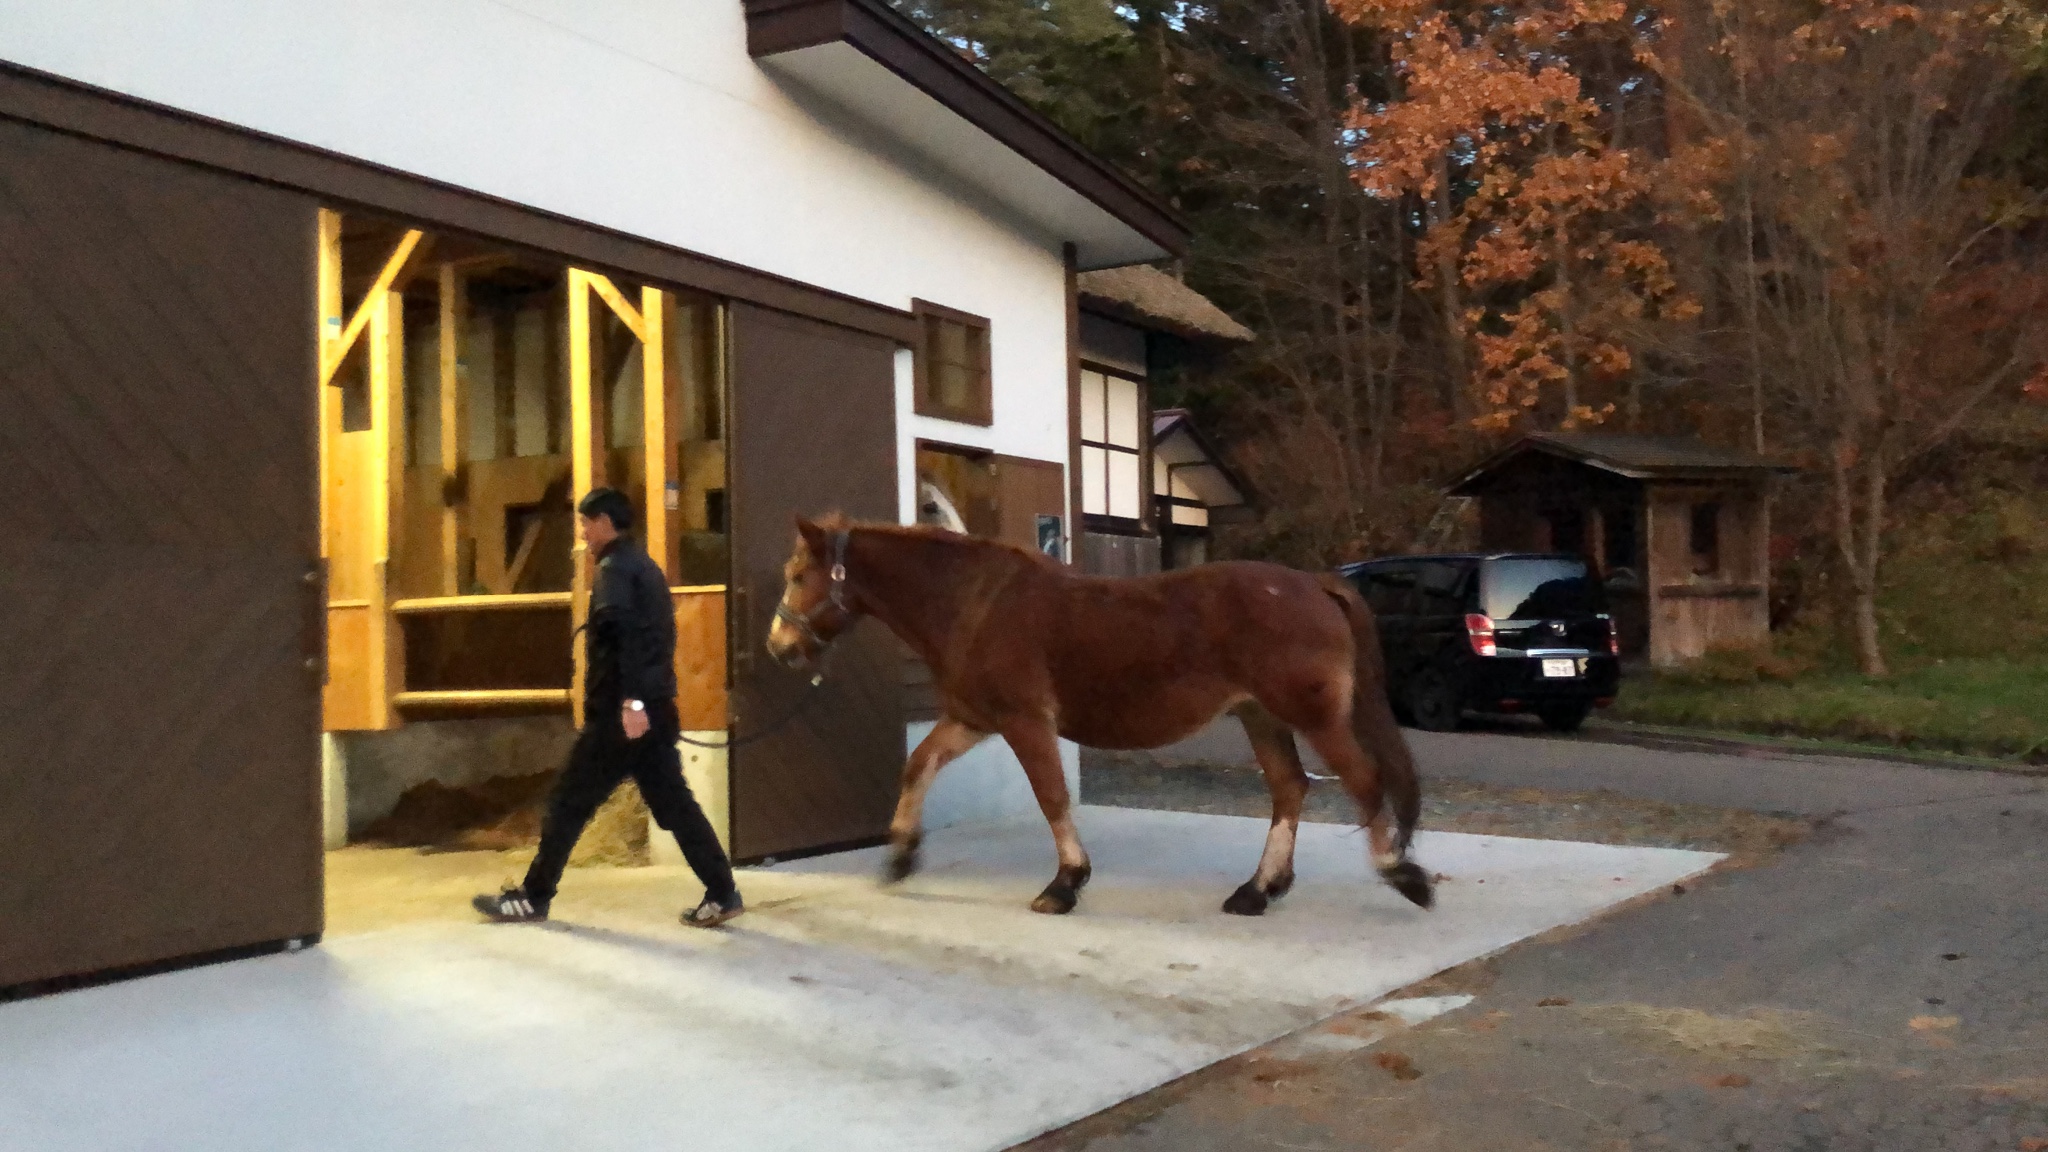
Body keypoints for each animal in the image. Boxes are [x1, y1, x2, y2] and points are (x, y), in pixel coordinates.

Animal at [761, 510, 1433, 914]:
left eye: (796, 574)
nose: (778, 647)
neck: (974, 603)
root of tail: (1313, 583)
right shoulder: (974, 720)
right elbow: (918, 765)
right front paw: (901, 856)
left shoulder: (1025, 722)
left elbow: (1051, 796)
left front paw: (1065, 884)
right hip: (1259, 717)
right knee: (1290, 788)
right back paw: (1258, 889)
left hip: (1312, 717)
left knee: (1362, 782)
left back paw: (1401, 873)